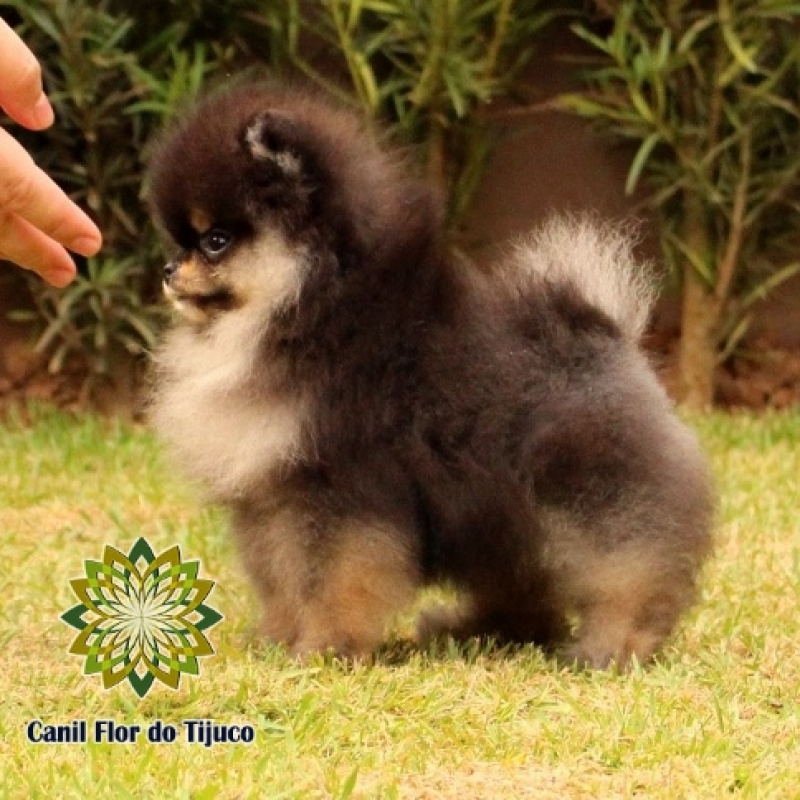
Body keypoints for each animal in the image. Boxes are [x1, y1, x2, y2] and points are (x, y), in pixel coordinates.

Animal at [145, 83, 712, 668]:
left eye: (214, 241)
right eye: (180, 241)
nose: (167, 270)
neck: (310, 307)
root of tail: (609, 332)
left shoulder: (344, 486)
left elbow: (333, 579)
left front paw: (324, 648)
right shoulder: (272, 497)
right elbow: (281, 579)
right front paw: (276, 641)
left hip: (590, 491)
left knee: (625, 571)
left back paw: (612, 647)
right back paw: (479, 632)